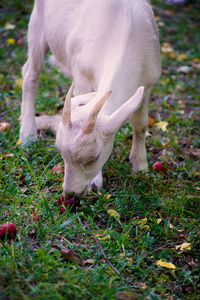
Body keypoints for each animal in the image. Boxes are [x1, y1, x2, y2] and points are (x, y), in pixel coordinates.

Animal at [20, 0, 161, 197]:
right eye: (59, 151)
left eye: (94, 157)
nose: (70, 193)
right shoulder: (81, 74)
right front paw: (96, 181)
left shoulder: (147, 84)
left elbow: (140, 126)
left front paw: (141, 168)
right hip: (37, 23)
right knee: (30, 74)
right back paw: (28, 134)